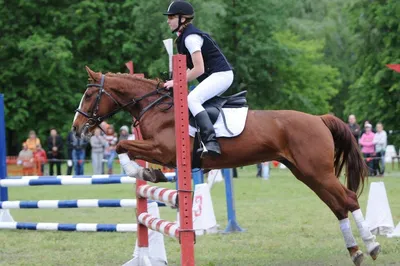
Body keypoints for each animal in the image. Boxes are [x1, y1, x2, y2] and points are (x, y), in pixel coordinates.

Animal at [72, 67, 382, 266]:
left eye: (88, 96)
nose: (76, 129)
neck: (156, 108)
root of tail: (318, 119)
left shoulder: (164, 151)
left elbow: (121, 145)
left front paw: (141, 171)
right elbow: (124, 146)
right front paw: (148, 171)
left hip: (318, 172)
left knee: (348, 199)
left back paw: (372, 246)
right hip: (308, 174)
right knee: (337, 205)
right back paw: (355, 251)